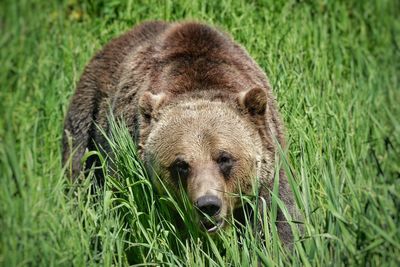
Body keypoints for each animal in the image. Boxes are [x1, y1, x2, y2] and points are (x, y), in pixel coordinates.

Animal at [62, 20, 298, 247]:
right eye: (181, 164)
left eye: (224, 158)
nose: (208, 205)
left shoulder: (269, 171)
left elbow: (278, 221)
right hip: (88, 116)